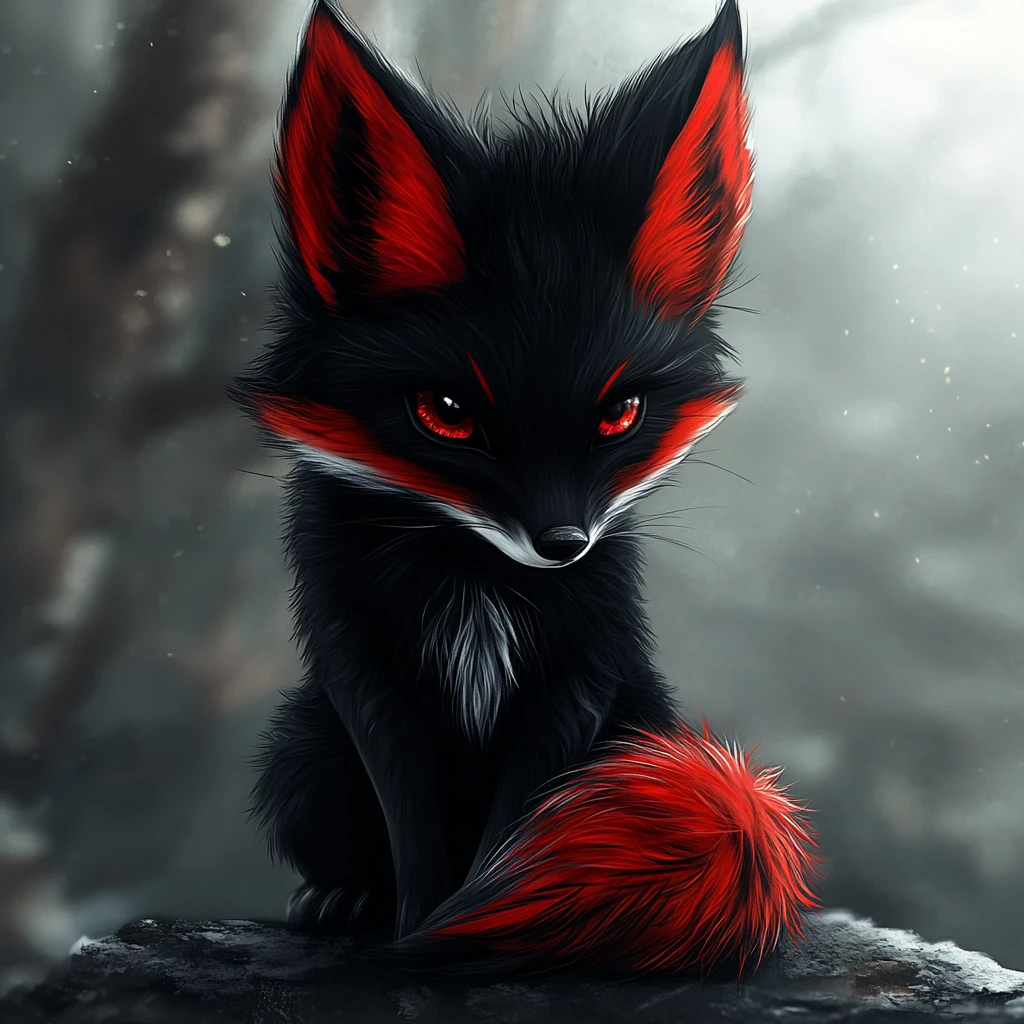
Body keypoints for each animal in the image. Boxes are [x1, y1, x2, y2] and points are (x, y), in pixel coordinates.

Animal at [230, 0, 819, 976]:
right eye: (446, 413)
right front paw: (423, 926)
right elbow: (416, 827)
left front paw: (475, 927)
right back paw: (342, 899)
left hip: (638, 723)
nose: (562, 545)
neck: (478, 586)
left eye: (620, 413)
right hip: (301, 755)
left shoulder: (576, 675)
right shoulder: (368, 671)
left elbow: (517, 829)